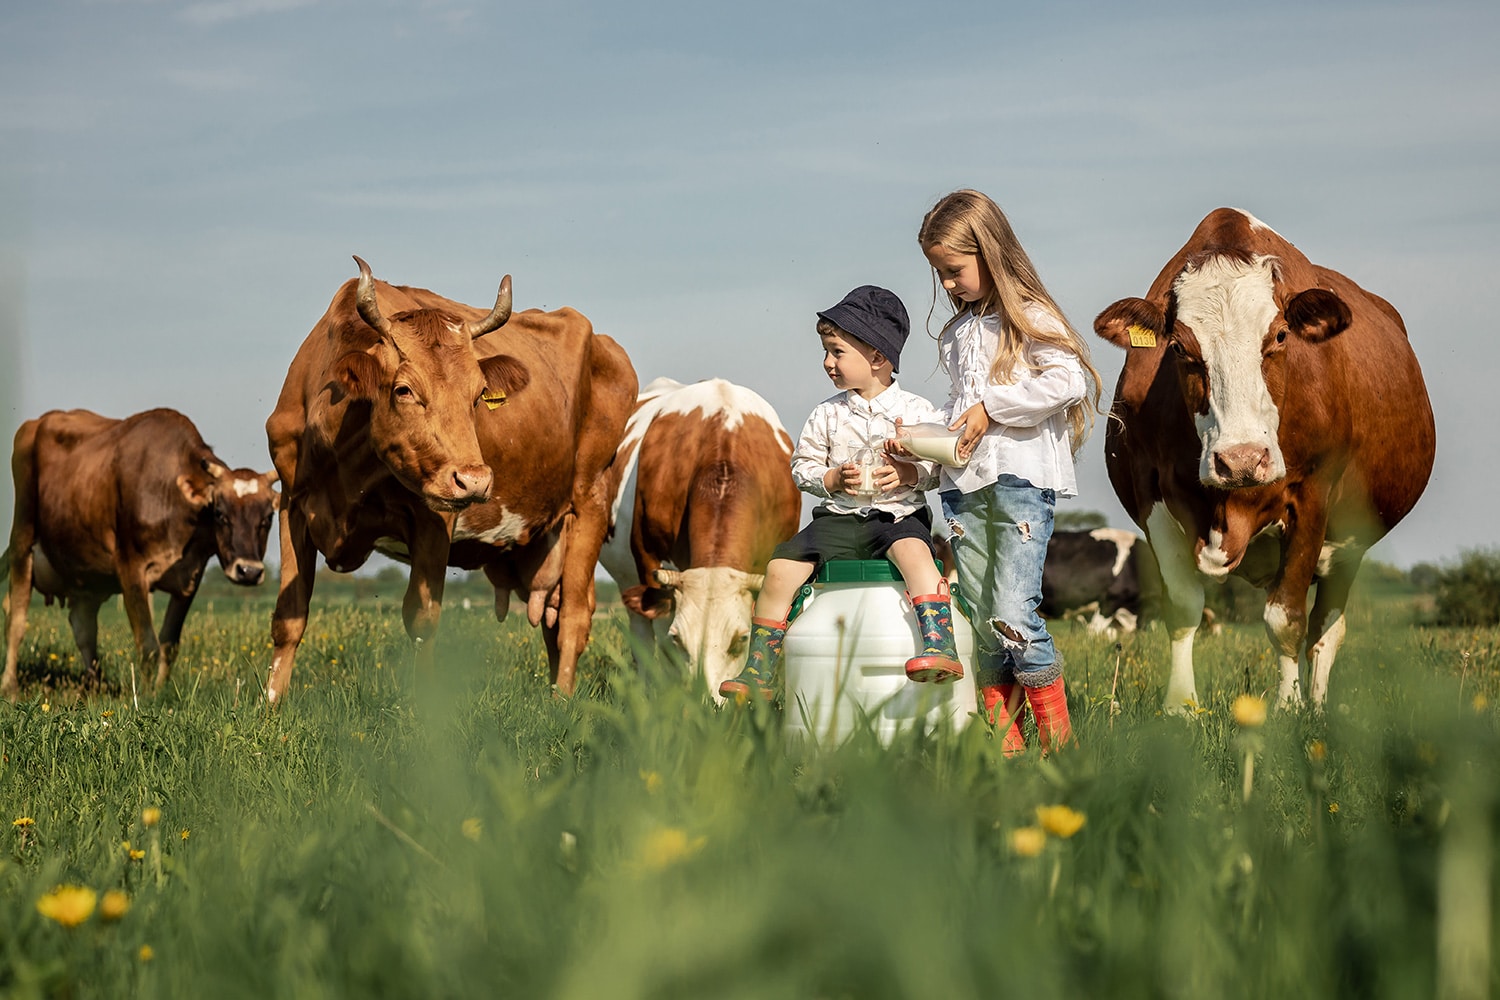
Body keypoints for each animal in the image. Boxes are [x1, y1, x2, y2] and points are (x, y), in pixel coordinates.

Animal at [4, 407, 279, 695]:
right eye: (220, 513)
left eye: (268, 518)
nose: (249, 571)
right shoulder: (131, 569)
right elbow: (148, 644)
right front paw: (146, 697)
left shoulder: (189, 579)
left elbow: (169, 645)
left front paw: (159, 690)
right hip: (22, 541)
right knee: (16, 621)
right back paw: (9, 686)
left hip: (85, 574)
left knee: (83, 627)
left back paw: (95, 685)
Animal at [267, 256, 636, 704]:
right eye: (404, 390)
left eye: (479, 394)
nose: (474, 480)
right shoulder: (292, 504)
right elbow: (289, 617)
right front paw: (271, 705)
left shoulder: (434, 518)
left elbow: (422, 619)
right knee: (554, 618)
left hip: (589, 501)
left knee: (573, 617)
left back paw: (562, 701)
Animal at [600, 379, 804, 701]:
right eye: (679, 639)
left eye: (740, 639)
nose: (706, 703)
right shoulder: (651, 566)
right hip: (629, 582)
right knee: (642, 635)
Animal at [1098, 209, 1434, 710]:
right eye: (1178, 347)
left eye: (1279, 335)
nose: (1240, 461)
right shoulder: (1149, 492)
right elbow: (1182, 606)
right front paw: (1180, 707)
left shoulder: (1313, 494)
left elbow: (1286, 617)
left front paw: (1288, 708)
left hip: (1349, 542)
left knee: (1326, 628)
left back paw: (1317, 707)